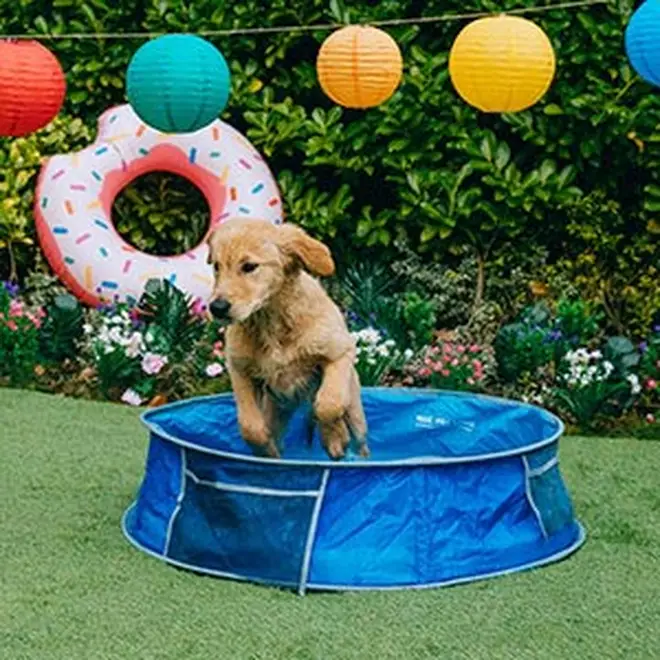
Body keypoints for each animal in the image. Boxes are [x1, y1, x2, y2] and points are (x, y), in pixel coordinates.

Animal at [206, 217, 368, 458]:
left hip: (355, 413)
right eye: (216, 266)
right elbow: (250, 427)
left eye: (249, 266)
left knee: (360, 442)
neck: (270, 322)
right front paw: (266, 452)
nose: (217, 307)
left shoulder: (339, 353)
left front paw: (335, 438)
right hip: (276, 409)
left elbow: (328, 404)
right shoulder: (239, 369)